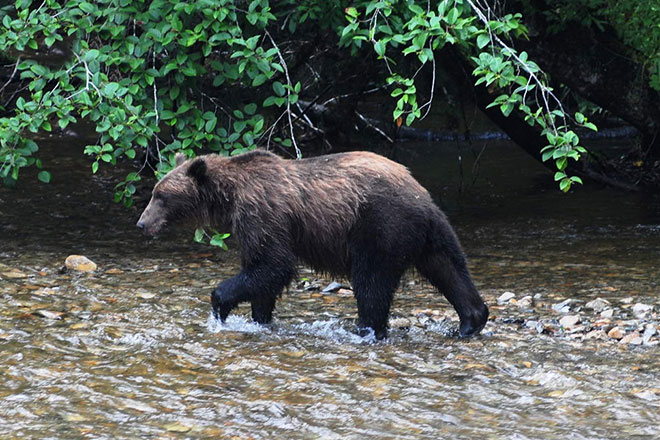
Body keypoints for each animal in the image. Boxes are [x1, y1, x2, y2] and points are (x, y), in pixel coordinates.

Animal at [138, 150, 490, 338]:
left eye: (161, 196)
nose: (141, 223)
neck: (230, 197)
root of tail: (420, 194)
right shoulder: (251, 226)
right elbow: (261, 273)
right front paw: (259, 318)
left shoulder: (263, 213)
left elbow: (274, 265)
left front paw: (220, 304)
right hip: (430, 232)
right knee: (450, 268)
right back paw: (470, 321)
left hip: (379, 226)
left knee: (371, 285)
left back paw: (366, 330)